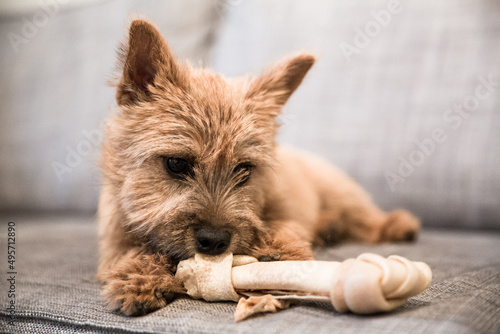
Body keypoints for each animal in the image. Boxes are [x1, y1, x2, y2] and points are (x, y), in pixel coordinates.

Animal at [95, 18, 420, 316]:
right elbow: (132, 250)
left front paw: (280, 253)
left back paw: (397, 225)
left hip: (342, 195)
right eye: (176, 163)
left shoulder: (287, 209)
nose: (214, 241)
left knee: (365, 220)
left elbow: (287, 228)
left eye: (244, 169)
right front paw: (138, 278)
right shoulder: (114, 239)